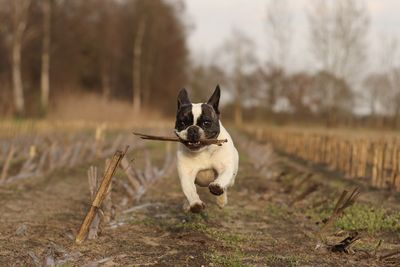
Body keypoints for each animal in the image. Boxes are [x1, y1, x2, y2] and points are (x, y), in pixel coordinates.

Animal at [174, 86, 238, 214]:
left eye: (206, 123)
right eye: (182, 123)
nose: (193, 129)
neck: (203, 151)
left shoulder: (225, 167)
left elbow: (223, 177)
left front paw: (217, 187)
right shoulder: (186, 175)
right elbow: (190, 191)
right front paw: (195, 204)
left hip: (233, 177)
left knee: (227, 185)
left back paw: (221, 200)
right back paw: (187, 205)